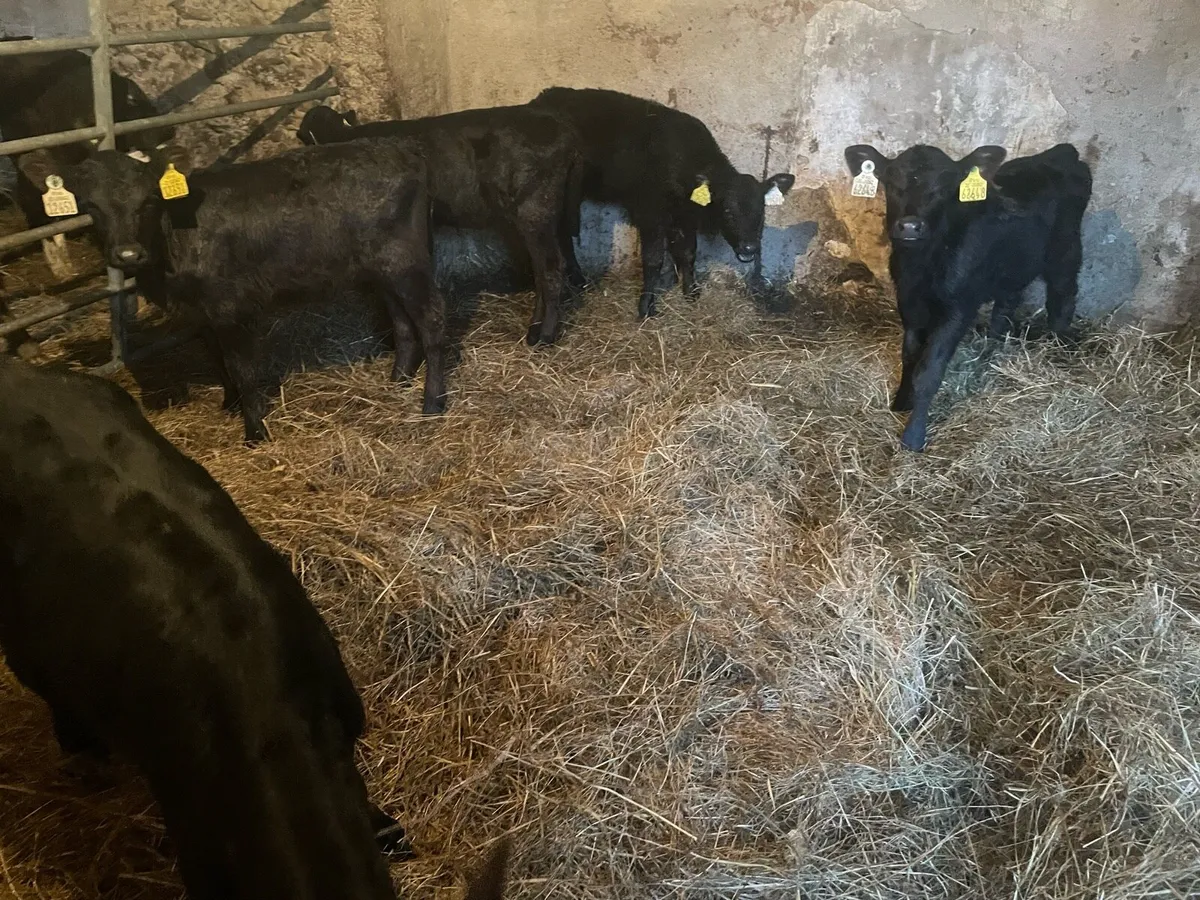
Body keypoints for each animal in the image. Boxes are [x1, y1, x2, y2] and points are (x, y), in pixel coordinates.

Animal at [17, 140, 447, 445]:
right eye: (91, 205)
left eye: (150, 200)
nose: (127, 254)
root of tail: (402, 149)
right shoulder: (201, 313)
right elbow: (216, 359)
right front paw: (230, 404)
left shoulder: (229, 307)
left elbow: (241, 366)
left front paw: (255, 431)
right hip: (382, 270)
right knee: (402, 322)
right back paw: (398, 380)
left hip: (406, 263)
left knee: (432, 322)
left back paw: (433, 403)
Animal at [297, 103, 583, 347]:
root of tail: (566, 131)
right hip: (548, 211)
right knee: (546, 264)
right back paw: (536, 327)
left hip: (535, 208)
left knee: (551, 268)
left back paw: (546, 334)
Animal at [528, 87, 795, 319]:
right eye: (727, 210)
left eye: (762, 211)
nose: (750, 248)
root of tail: (544, 96)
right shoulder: (651, 214)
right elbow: (654, 260)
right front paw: (646, 306)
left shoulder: (684, 216)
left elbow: (688, 253)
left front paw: (691, 292)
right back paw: (577, 279)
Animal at [843, 142, 1092, 451]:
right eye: (890, 182)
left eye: (945, 187)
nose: (910, 226)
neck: (921, 266)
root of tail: (1061, 152)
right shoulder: (908, 300)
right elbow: (909, 355)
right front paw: (901, 401)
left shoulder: (959, 308)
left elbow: (929, 371)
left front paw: (913, 436)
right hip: (1013, 265)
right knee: (1007, 304)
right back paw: (992, 345)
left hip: (1066, 251)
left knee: (1063, 298)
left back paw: (1058, 349)